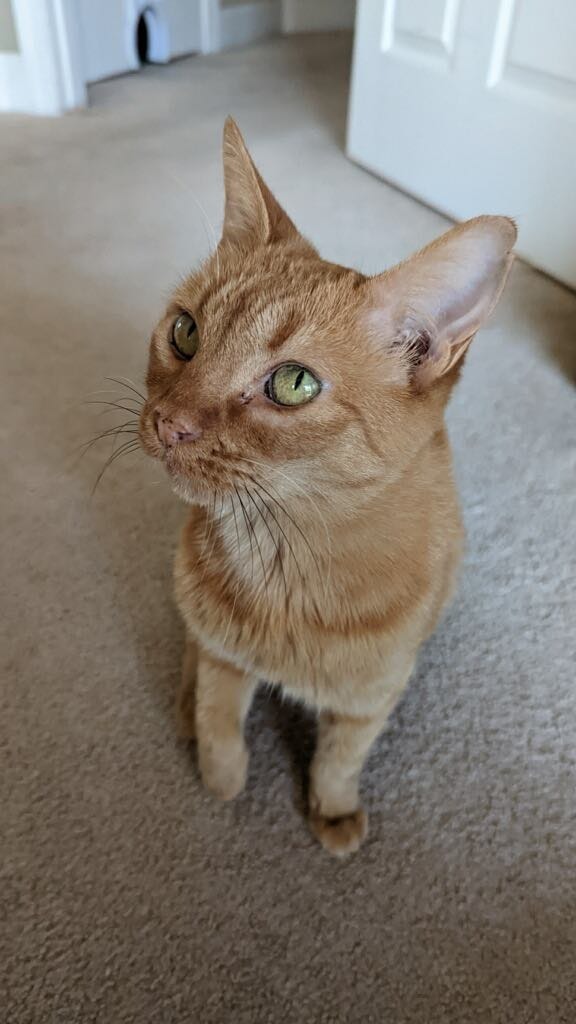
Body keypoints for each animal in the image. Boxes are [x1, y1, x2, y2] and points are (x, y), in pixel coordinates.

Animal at [140, 117, 516, 856]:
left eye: (293, 384)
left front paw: (333, 812)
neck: (283, 563)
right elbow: (220, 722)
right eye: (186, 332)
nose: (169, 423)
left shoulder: (372, 698)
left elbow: (340, 761)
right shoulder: (225, 658)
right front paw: (220, 778)